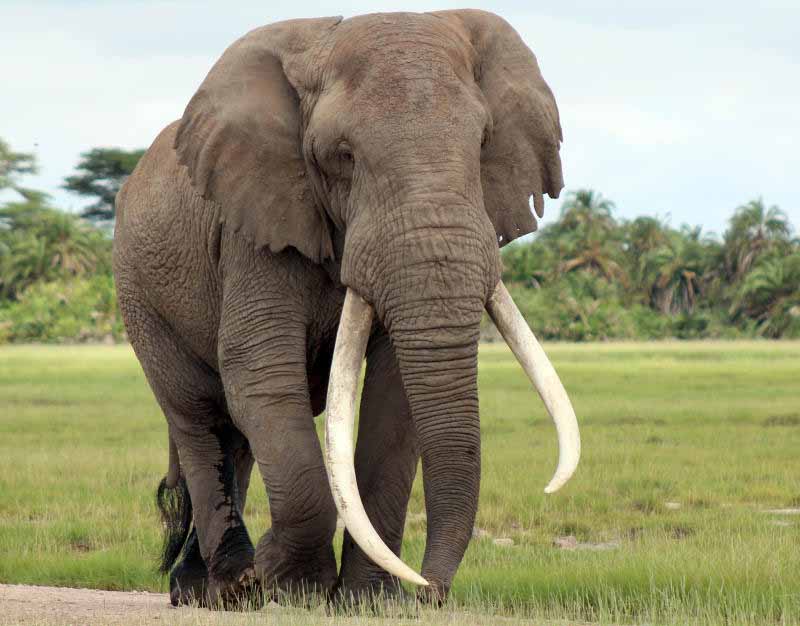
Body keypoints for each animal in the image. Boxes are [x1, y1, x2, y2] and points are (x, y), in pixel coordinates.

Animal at [113, 9, 581, 608]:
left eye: (482, 143)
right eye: (344, 156)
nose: (429, 592)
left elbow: (394, 393)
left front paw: (367, 600)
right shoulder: (255, 227)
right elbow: (262, 375)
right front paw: (293, 586)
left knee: (233, 437)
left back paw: (208, 590)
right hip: (139, 295)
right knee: (200, 416)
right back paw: (232, 586)